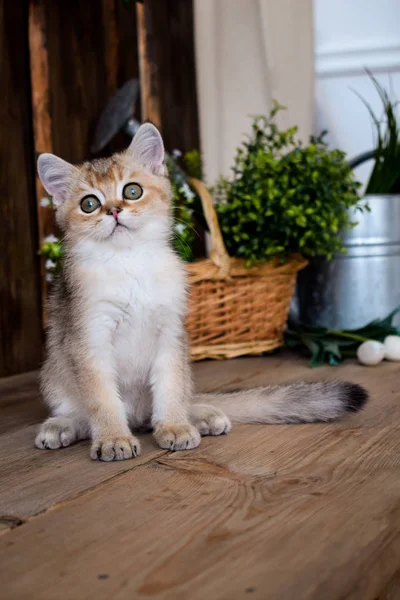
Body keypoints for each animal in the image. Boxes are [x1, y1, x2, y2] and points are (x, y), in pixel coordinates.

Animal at [35, 120, 368, 460]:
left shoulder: (170, 334)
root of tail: (137, 415)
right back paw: (61, 427)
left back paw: (201, 415)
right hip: (54, 375)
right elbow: (102, 400)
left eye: (132, 191)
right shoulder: (90, 340)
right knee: (81, 414)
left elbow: (170, 389)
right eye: (89, 204)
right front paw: (114, 438)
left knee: (173, 402)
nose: (113, 211)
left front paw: (174, 427)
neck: (131, 263)